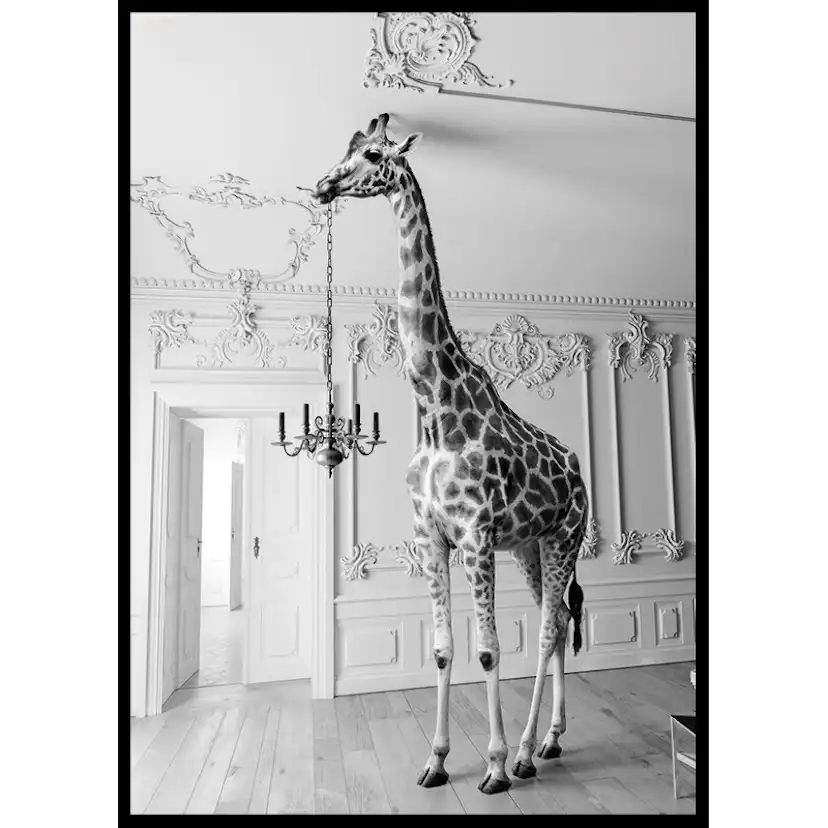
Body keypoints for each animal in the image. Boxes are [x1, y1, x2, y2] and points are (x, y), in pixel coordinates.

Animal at [312, 113, 589, 795]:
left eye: (375, 155)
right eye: (347, 148)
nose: (323, 185)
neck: (437, 411)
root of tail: (580, 471)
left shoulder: (476, 535)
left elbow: (489, 649)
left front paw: (492, 767)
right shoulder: (431, 538)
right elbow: (442, 649)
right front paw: (435, 762)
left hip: (566, 537)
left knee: (548, 631)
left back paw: (523, 753)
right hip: (531, 547)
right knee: (555, 625)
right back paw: (549, 742)